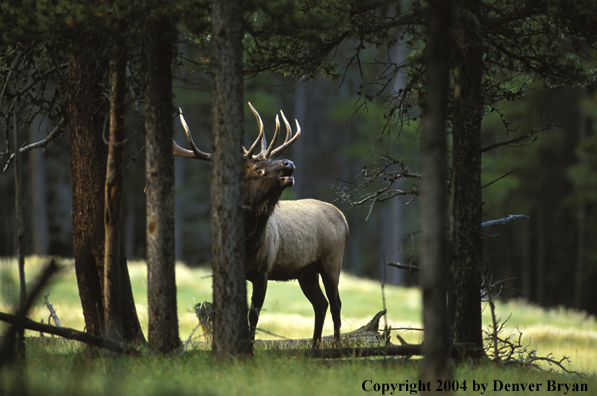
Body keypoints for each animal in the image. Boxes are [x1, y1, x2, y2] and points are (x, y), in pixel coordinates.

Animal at [172, 103, 346, 346]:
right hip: (306, 271)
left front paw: (249, 345)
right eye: (257, 169)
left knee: (336, 304)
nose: (288, 163)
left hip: (332, 261)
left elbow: (253, 314)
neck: (248, 242)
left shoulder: (263, 269)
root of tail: (343, 217)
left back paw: (336, 344)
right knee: (321, 304)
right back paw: (314, 346)